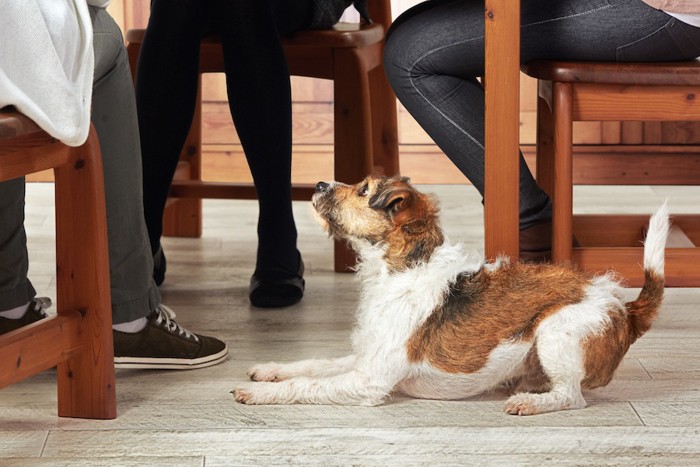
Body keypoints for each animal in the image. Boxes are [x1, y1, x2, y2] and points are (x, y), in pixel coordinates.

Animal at [232, 176, 668, 416]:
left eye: (363, 189)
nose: (320, 183)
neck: (400, 270)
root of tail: (626, 309)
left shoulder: (370, 378)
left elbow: (305, 385)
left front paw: (259, 392)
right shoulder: (364, 357)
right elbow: (313, 364)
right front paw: (270, 369)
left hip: (555, 330)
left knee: (572, 397)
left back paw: (530, 402)